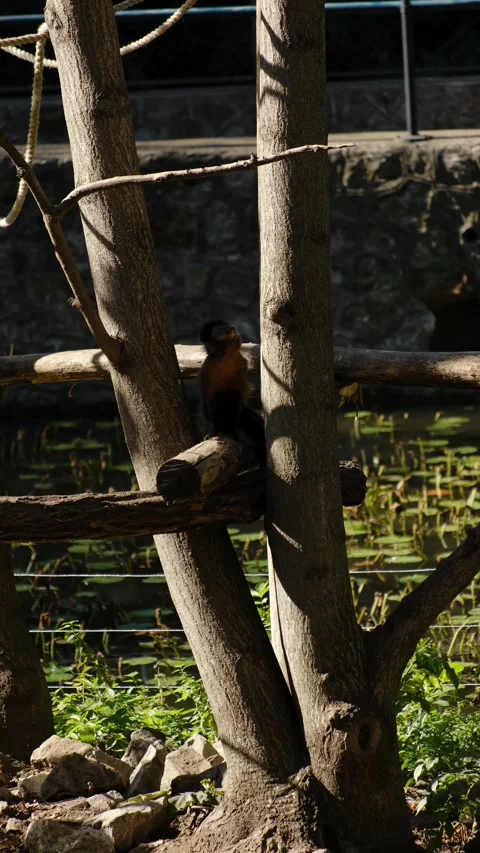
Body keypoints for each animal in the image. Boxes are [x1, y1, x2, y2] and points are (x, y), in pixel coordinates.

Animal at [199, 320, 266, 467]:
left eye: (225, 325)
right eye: (221, 330)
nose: (230, 327)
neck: (227, 357)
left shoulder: (241, 363)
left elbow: (237, 396)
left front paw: (233, 432)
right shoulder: (210, 366)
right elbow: (209, 398)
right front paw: (213, 432)